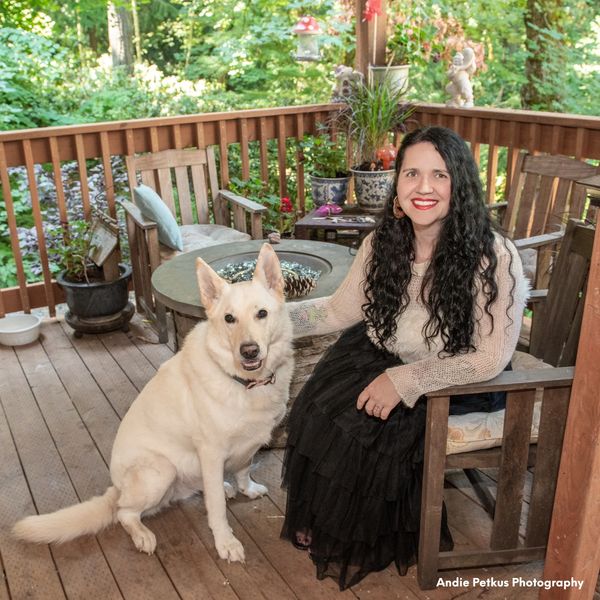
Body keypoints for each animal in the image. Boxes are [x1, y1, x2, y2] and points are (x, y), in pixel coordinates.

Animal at [12, 244, 294, 564]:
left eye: (262, 313)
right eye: (229, 319)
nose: (249, 352)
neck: (244, 383)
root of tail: (117, 488)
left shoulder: (249, 444)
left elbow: (244, 469)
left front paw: (247, 489)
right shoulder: (211, 453)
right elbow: (217, 511)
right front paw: (225, 542)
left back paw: (223, 487)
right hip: (160, 470)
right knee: (124, 512)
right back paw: (143, 535)